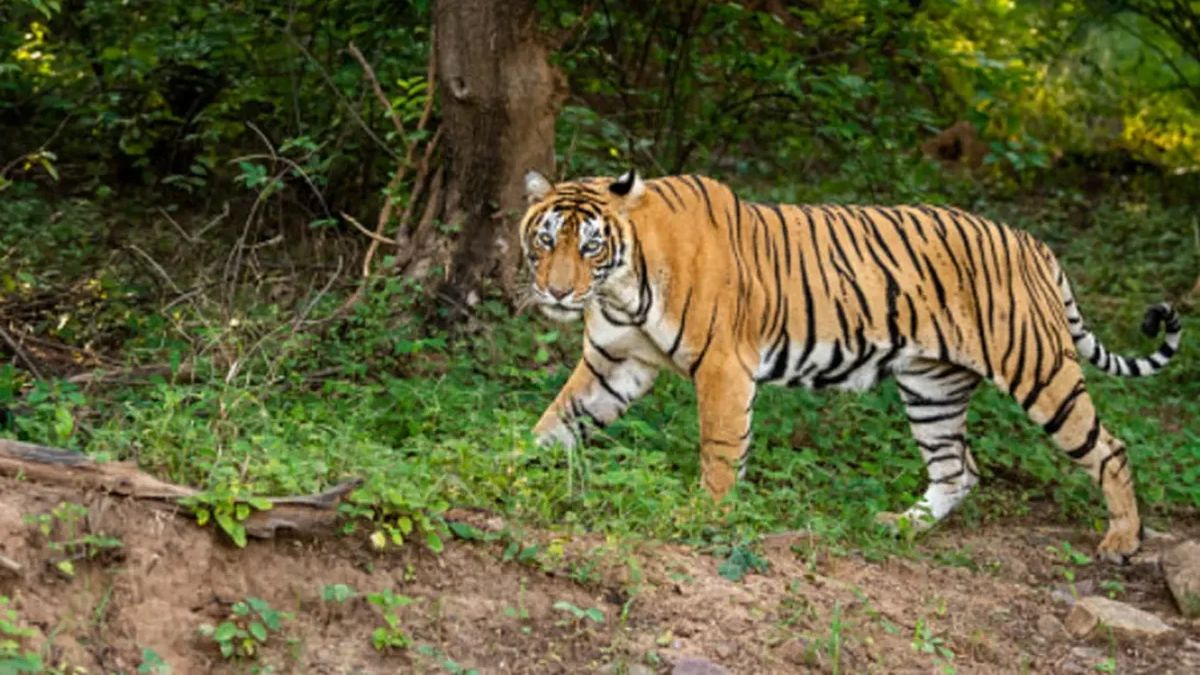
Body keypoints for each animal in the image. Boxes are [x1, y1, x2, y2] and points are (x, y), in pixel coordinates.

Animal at [516, 170, 1180, 559]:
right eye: (546, 239)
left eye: (590, 245)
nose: (555, 292)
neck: (619, 286)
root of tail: (1035, 245)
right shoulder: (615, 362)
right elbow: (556, 423)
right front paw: (511, 469)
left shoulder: (724, 368)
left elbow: (720, 451)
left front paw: (704, 514)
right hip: (931, 386)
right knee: (958, 468)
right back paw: (902, 526)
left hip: (1039, 371)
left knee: (1110, 448)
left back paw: (1123, 539)